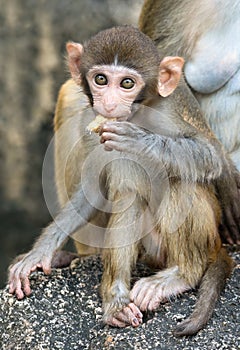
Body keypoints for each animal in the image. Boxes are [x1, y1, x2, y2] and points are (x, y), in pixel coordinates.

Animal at [8, 25, 233, 336]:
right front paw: (39, 253)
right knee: (128, 190)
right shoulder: (93, 123)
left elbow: (211, 156)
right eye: (100, 79)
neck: (137, 114)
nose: (110, 103)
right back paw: (116, 303)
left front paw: (139, 140)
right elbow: (94, 190)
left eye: (127, 83)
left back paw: (182, 275)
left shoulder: (169, 111)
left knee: (178, 180)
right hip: (151, 248)